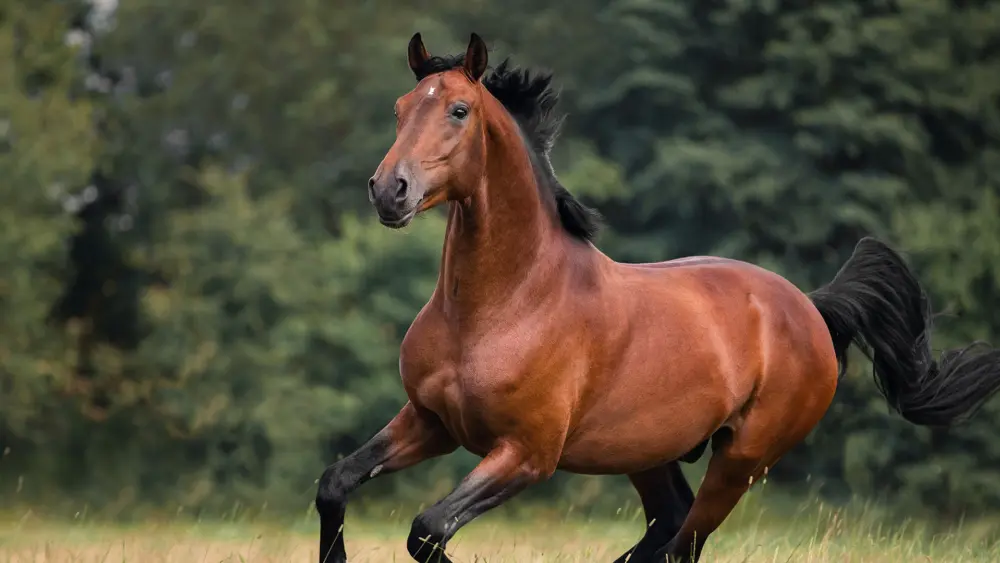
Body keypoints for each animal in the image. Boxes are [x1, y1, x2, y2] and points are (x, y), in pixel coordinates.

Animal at [314, 32, 1000, 563]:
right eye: (401, 108)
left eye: (458, 110)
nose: (389, 190)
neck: (502, 306)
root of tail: (809, 306)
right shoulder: (430, 422)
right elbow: (335, 484)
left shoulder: (527, 455)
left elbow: (428, 529)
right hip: (647, 454)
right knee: (665, 531)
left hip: (739, 462)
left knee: (680, 545)